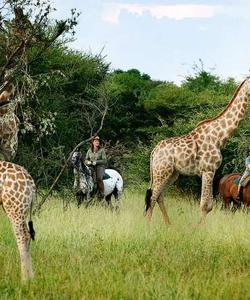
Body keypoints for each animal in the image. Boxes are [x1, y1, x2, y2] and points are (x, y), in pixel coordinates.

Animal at [146, 76, 250, 224]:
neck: (219, 137)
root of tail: (154, 152)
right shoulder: (208, 169)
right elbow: (205, 205)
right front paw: (199, 228)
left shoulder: (208, 171)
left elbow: (208, 205)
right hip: (161, 171)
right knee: (152, 197)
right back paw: (147, 226)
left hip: (172, 174)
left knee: (159, 196)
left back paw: (169, 225)